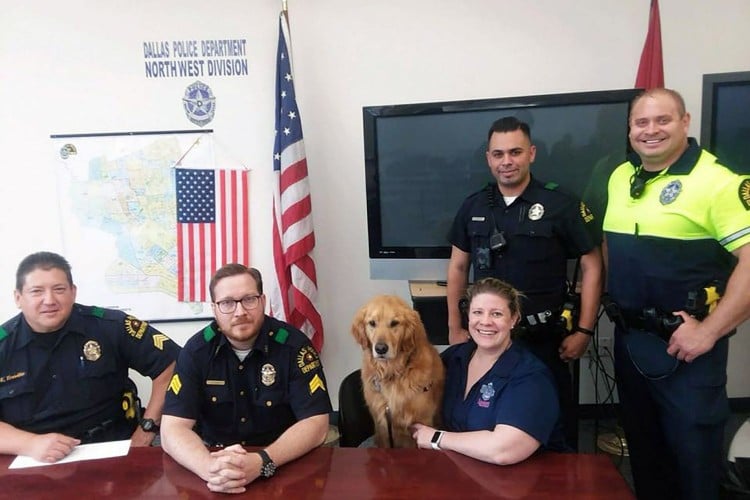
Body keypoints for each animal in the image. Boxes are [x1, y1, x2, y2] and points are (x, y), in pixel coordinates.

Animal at [352, 294, 446, 448]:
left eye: (394, 323)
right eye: (372, 323)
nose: (380, 349)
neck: (393, 373)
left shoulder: (423, 422)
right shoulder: (383, 426)